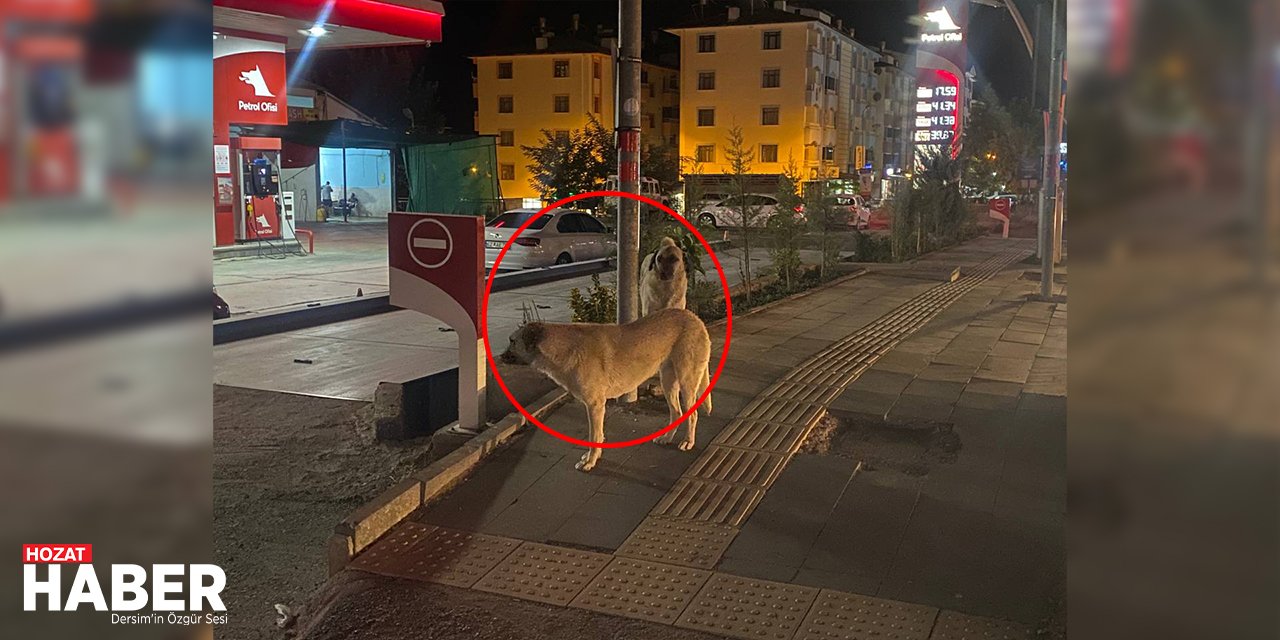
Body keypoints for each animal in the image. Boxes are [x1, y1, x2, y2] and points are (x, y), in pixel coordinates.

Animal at [496, 307, 711, 473]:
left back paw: (688, 442)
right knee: (677, 412)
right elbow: (598, 436)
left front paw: (590, 461)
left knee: (692, 414)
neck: (562, 348)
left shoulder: (595, 405)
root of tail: (694, 316)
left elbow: (594, 437)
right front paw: (591, 458)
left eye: (512, 341)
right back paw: (667, 438)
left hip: (687, 382)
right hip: (668, 382)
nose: (500, 357)